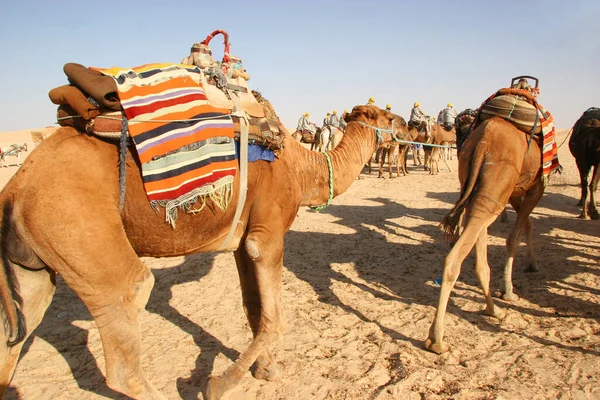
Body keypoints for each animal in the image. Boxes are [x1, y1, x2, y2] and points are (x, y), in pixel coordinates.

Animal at [424, 115, 548, 354]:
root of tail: (484, 140)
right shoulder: (536, 187)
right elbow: (515, 237)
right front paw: (509, 290)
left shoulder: (514, 191)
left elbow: (527, 224)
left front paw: (531, 265)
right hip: (495, 188)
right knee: (456, 258)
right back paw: (437, 339)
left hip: (479, 187)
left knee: (479, 254)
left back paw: (494, 310)